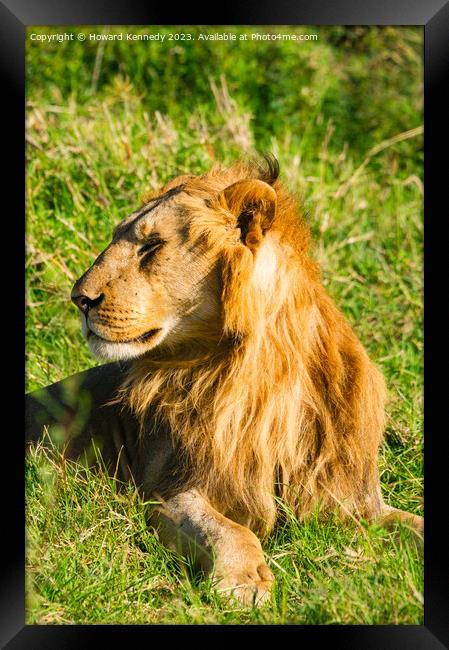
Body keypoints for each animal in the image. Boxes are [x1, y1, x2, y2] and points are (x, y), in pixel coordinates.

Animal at [26, 154, 422, 604]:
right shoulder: (167, 492)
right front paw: (244, 580)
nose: (79, 298)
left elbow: (414, 525)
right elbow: (229, 530)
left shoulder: (352, 501)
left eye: (152, 246)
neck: (261, 376)